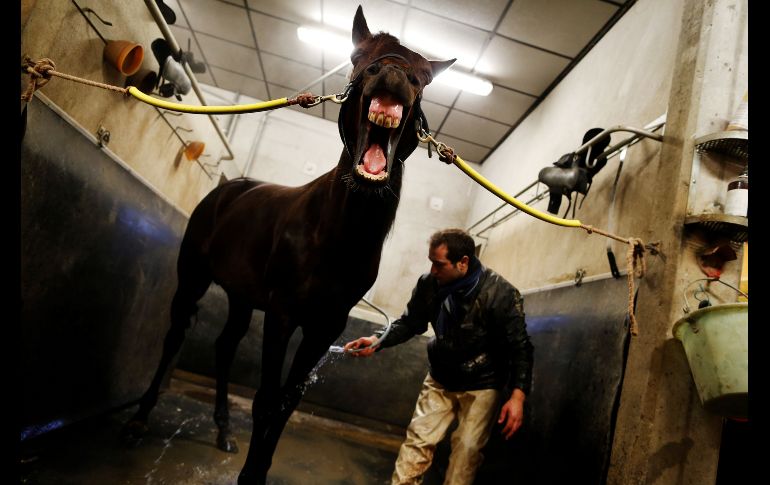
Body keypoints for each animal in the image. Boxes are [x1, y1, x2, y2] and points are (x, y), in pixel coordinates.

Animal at [122, 6, 454, 484]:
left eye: (424, 78)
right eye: (359, 58)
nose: (392, 73)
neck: (337, 235)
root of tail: (228, 189)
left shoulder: (325, 325)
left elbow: (286, 403)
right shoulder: (282, 313)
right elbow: (265, 399)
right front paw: (248, 475)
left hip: (241, 296)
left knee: (225, 346)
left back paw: (223, 429)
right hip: (193, 276)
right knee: (176, 334)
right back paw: (139, 419)